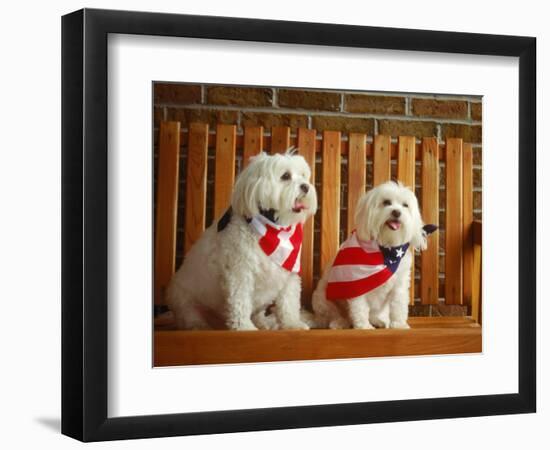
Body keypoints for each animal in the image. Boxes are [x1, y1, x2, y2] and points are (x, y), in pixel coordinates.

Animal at [166, 151, 316, 330]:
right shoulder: (240, 270)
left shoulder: (288, 270)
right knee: (190, 316)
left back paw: (264, 322)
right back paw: (199, 326)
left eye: (303, 176)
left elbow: (289, 302)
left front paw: (292, 324)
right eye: (285, 176)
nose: (306, 187)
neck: (274, 226)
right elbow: (240, 299)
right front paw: (244, 326)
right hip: (185, 302)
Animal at [312, 180, 434, 330]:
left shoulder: (399, 285)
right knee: (334, 314)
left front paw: (399, 324)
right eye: (386, 202)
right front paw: (363, 326)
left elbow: (398, 305)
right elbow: (360, 307)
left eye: (405, 205)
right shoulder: (356, 283)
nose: (396, 212)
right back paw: (340, 322)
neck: (386, 249)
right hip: (322, 299)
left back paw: (379, 320)